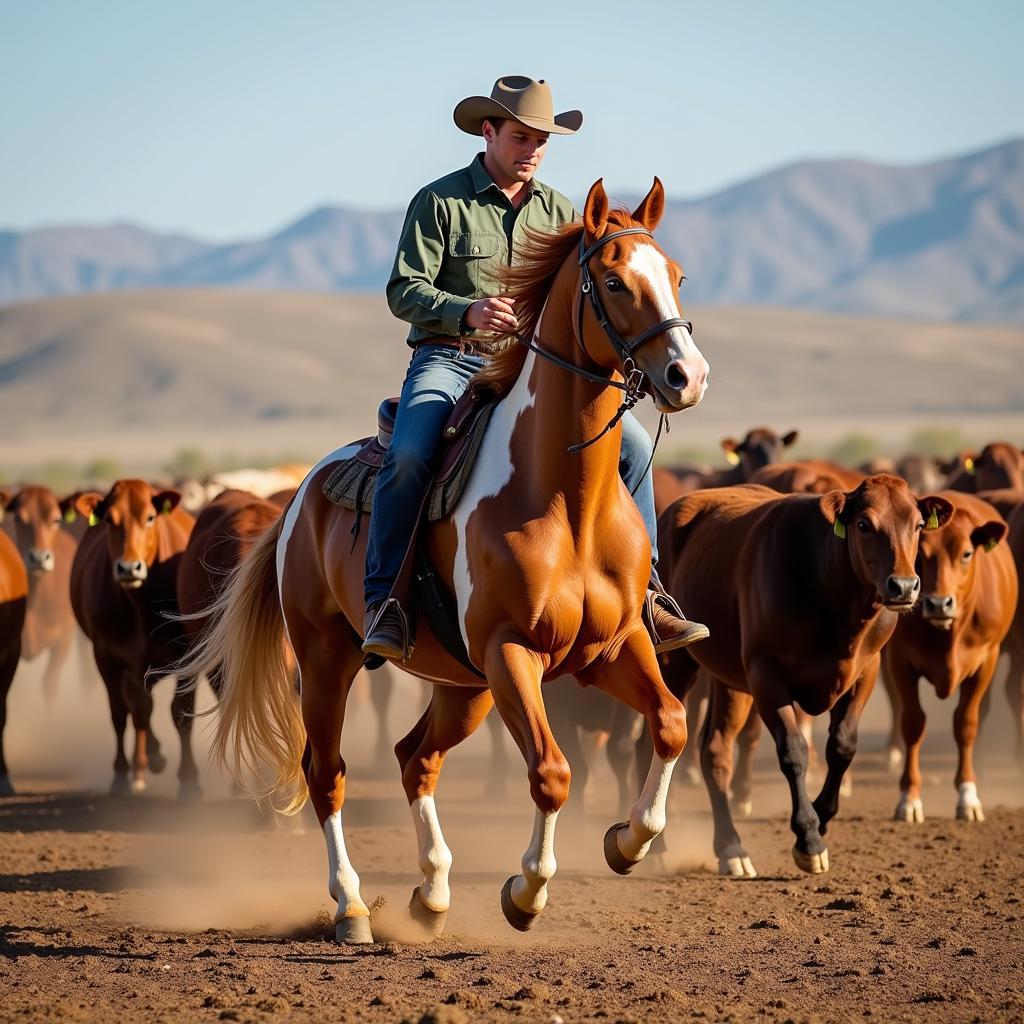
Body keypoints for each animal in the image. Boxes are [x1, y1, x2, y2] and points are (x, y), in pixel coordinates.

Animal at [71, 483, 194, 794]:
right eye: (109, 519)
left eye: (150, 517)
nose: (128, 568)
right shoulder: (106, 656)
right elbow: (122, 712)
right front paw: (121, 773)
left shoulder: (187, 654)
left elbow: (181, 711)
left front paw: (188, 779)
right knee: (138, 708)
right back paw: (141, 765)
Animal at [180, 182, 708, 942]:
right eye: (613, 281)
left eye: (676, 277)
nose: (686, 376)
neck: (563, 501)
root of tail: (303, 490)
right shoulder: (512, 653)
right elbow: (551, 773)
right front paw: (525, 892)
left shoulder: (615, 645)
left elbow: (669, 723)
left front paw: (627, 842)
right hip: (328, 660)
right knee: (327, 772)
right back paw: (352, 907)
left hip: (463, 686)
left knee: (415, 759)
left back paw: (430, 894)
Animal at [655, 475, 950, 876]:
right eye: (863, 524)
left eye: (918, 525)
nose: (903, 586)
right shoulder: (765, 673)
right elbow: (794, 750)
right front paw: (808, 838)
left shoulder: (866, 669)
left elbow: (842, 746)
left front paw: (821, 818)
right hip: (676, 661)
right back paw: (656, 846)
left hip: (730, 681)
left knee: (715, 751)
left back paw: (731, 847)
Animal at [884, 491, 1019, 819]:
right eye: (919, 555)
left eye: (967, 554)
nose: (938, 604)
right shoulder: (899, 661)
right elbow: (913, 722)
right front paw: (909, 798)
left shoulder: (986, 661)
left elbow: (966, 723)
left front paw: (968, 796)